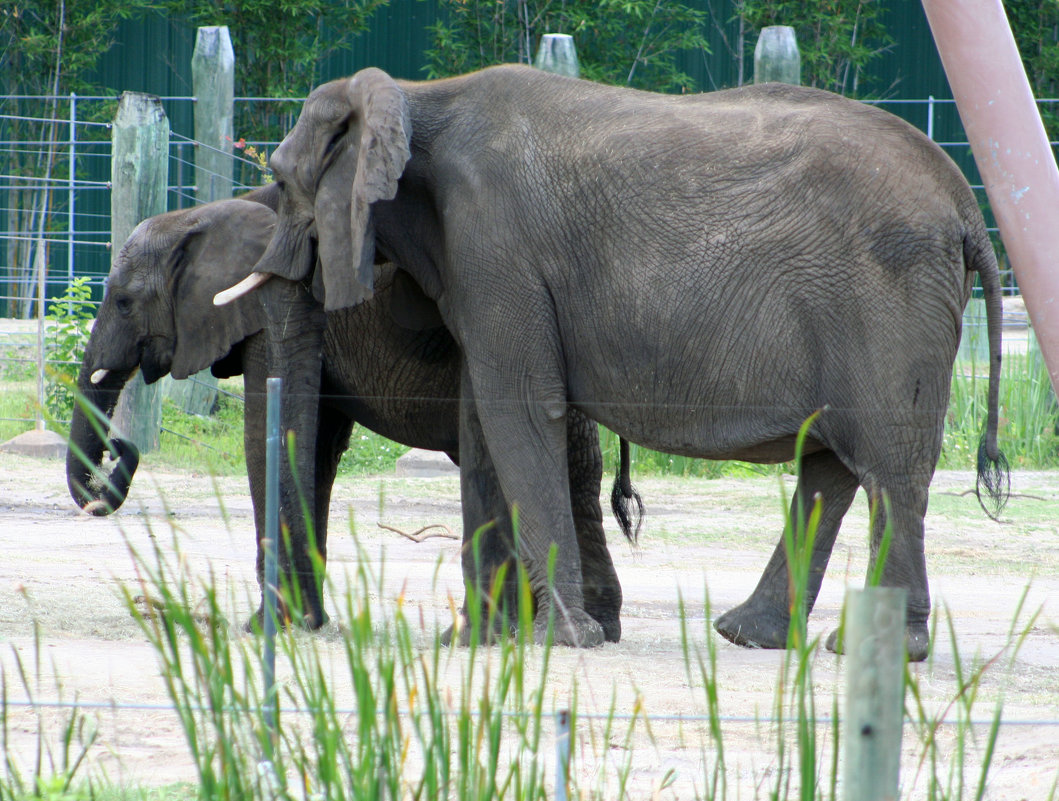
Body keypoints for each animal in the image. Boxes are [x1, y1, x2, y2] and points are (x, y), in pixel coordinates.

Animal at [70, 184, 639, 639]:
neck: (199, 215)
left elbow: (266, 438)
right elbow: (316, 449)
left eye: (122, 301)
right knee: (576, 471)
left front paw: (265, 627)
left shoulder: (260, 315)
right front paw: (305, 622)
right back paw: (595, 627)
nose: (113, 455)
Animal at [227, 65, 1003, 661]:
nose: (290, 626)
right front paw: (490, 640)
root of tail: (963, 203)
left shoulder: (495, 247)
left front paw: (560, 641)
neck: (417, 97)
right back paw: (752, 636)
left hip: (888, 303)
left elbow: (518, 409)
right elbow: (486, 417)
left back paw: (878, 648)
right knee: (834, 465)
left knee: (885, 469)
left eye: (282, 179)